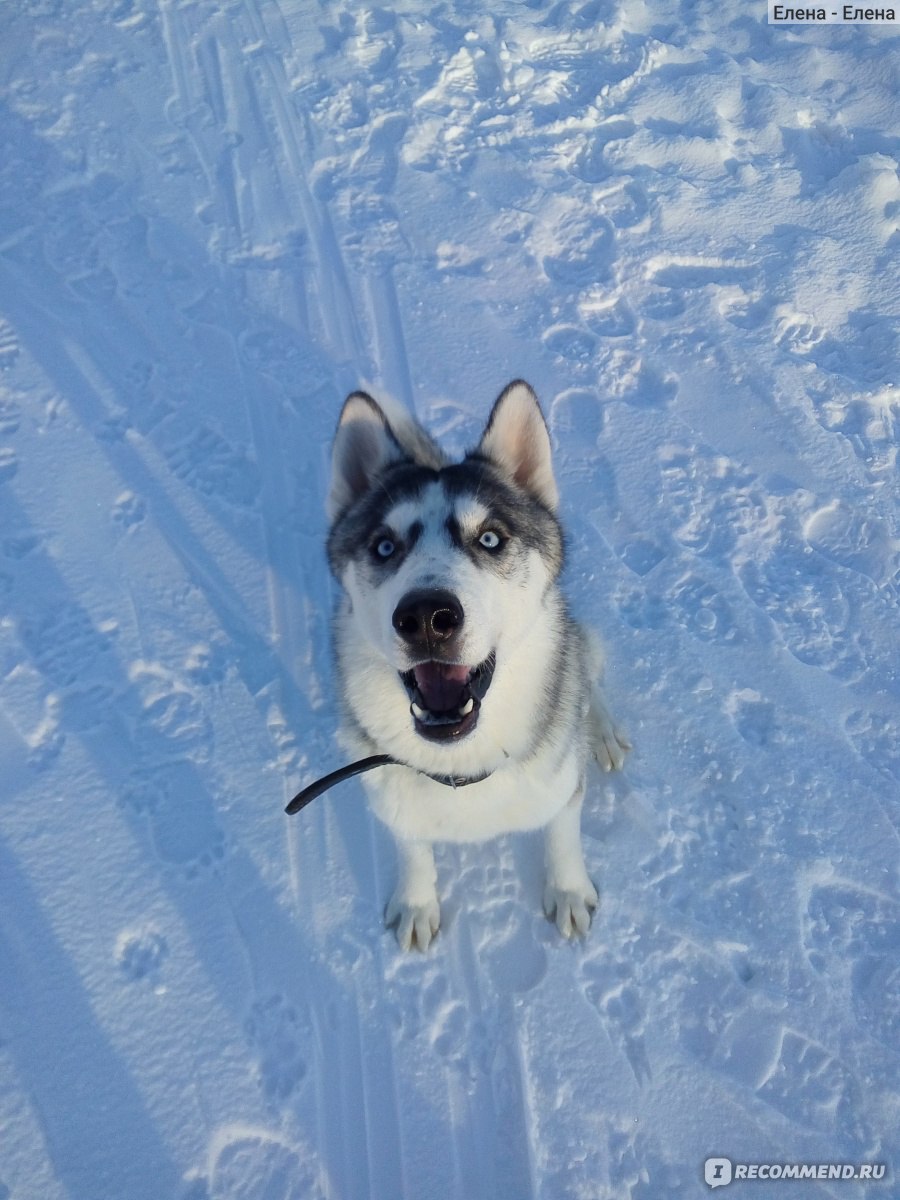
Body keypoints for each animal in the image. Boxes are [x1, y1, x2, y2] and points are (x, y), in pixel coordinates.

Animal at [328, 381, 628, 945]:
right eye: (384, 546)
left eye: (490, 538)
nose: (427, 617)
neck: (461, 768)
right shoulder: (394, 803)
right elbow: (412, 847)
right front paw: (417, 902)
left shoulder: (562, 789)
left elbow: (562, 837)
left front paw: (568, 891)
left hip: (584, 649)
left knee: (587, 674)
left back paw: (602, 730)